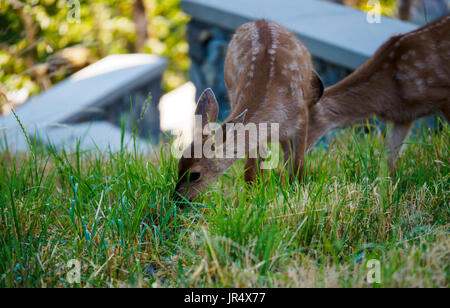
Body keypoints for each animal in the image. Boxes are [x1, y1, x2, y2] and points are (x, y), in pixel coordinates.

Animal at [175, 20, 324, 201]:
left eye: (195, 174)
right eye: (178, 165)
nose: (177, 199)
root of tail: (260, 21)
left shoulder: (302, 118)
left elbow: (299, 164)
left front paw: (296, 190)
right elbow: (250, 170)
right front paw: (251, 198)